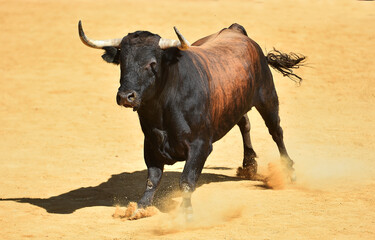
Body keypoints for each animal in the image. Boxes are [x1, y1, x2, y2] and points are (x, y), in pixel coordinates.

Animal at [77, 21, 306, 220]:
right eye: (122, 63)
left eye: (152, 64)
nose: (126, 96)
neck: (163, 108)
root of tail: (235, 30)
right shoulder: (150, 144)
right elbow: (152, 179)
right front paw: (139, 208)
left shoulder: (200, 145)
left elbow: (187, 180)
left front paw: (185, 213)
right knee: (244, 123)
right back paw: (248, 165)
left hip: (267, 95)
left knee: (276, 131)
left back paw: (288, 171)